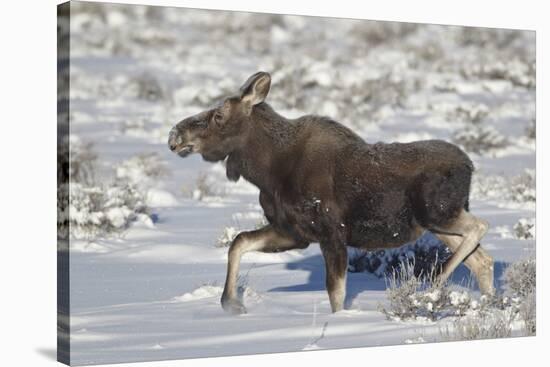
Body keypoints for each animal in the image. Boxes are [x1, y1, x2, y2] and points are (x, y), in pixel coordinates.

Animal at [168, 72, 496, 316]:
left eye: (219, 115)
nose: (174, 135)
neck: (267, 172)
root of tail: (470, 166)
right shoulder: (293, 232)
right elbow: (238, 242)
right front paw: (231, 304)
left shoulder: (331, 233)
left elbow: (335, 294)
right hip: (437, 224)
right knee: (483, 259)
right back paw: (487, 304)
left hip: (438, 212)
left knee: (480, 228)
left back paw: (434, 282)